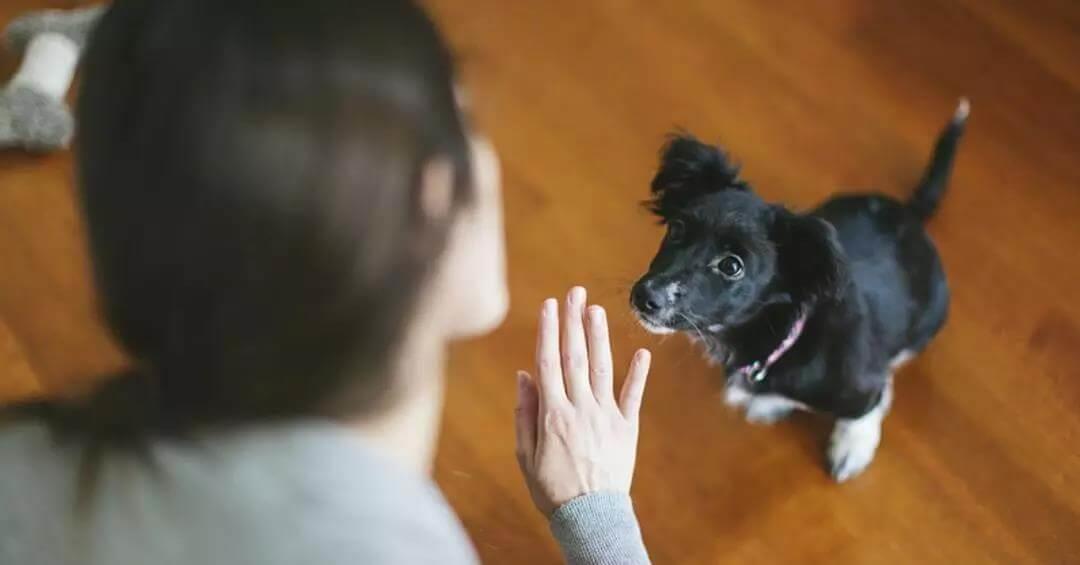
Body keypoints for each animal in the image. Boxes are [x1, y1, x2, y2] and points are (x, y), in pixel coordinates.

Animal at [630, 101, 967, 481]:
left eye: (732, 265)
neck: (777, 338)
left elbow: (865, 409)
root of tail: (910, 215)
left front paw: (853, 446)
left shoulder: (862, 384)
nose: (645, 296)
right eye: (676, 229)